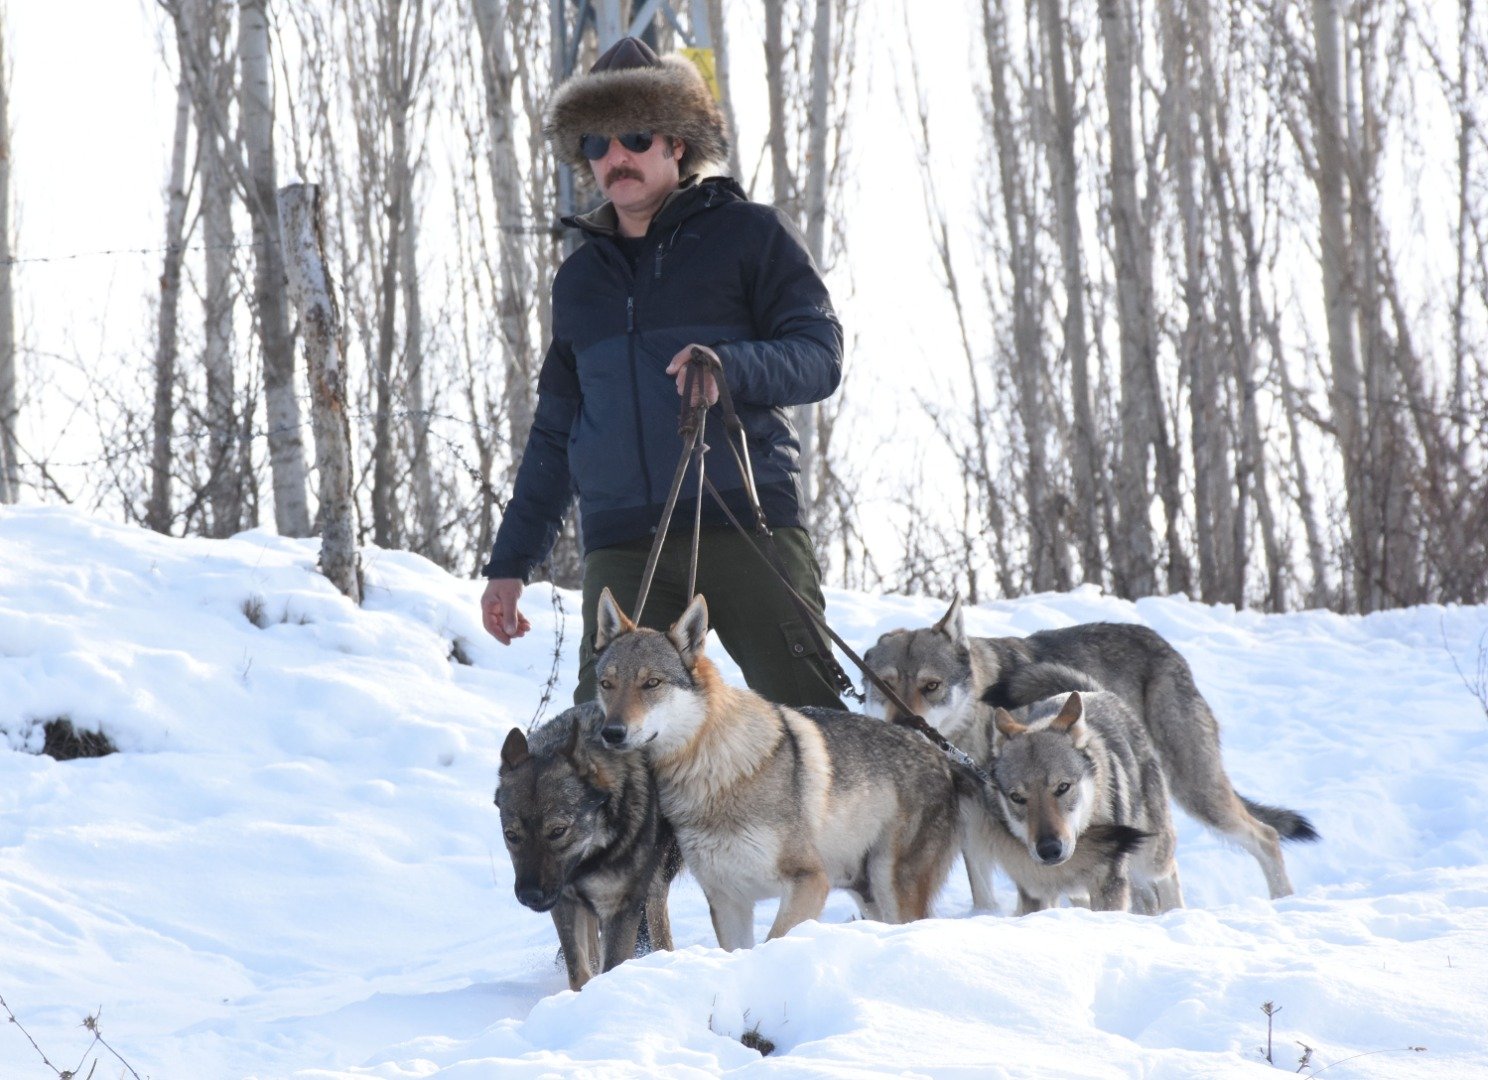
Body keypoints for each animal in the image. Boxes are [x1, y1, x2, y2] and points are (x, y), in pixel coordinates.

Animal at [496, 705, 678, 993]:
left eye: (557, 831)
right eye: (511, 835)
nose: (529, 895)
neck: (594, 852)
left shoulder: (621, 909)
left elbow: (612, 966)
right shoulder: (564, 902)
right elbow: (578, 970)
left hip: (657, 882)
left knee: (661, 929)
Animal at [592, 589, 976, 952]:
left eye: (651, 684)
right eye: (606, 685)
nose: (612, 733)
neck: (715, 769)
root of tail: (941, 756)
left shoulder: (809, 881)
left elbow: (773, 939)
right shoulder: (727, 900)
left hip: (891, 889)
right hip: (867, 893)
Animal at [982, 690, 1178, 916]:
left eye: (1062, 787)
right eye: (1017, 798)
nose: (1049, 850)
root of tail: (1092, 690)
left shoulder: (1108, 885)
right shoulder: (1034, 890)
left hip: (1151, 858)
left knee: (1170, 872)